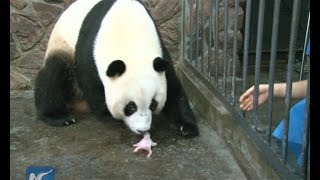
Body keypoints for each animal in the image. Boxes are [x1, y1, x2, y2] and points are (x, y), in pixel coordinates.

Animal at [35, 0, 200, 136]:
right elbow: (91, 85)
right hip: (62, 44)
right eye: (131, 107)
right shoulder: (88, 50)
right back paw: (59, 117)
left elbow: (173, 86)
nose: (142, 130)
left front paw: (186, 126)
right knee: (53, 75)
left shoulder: (160, 53)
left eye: (153, 104)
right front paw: (107, 112)